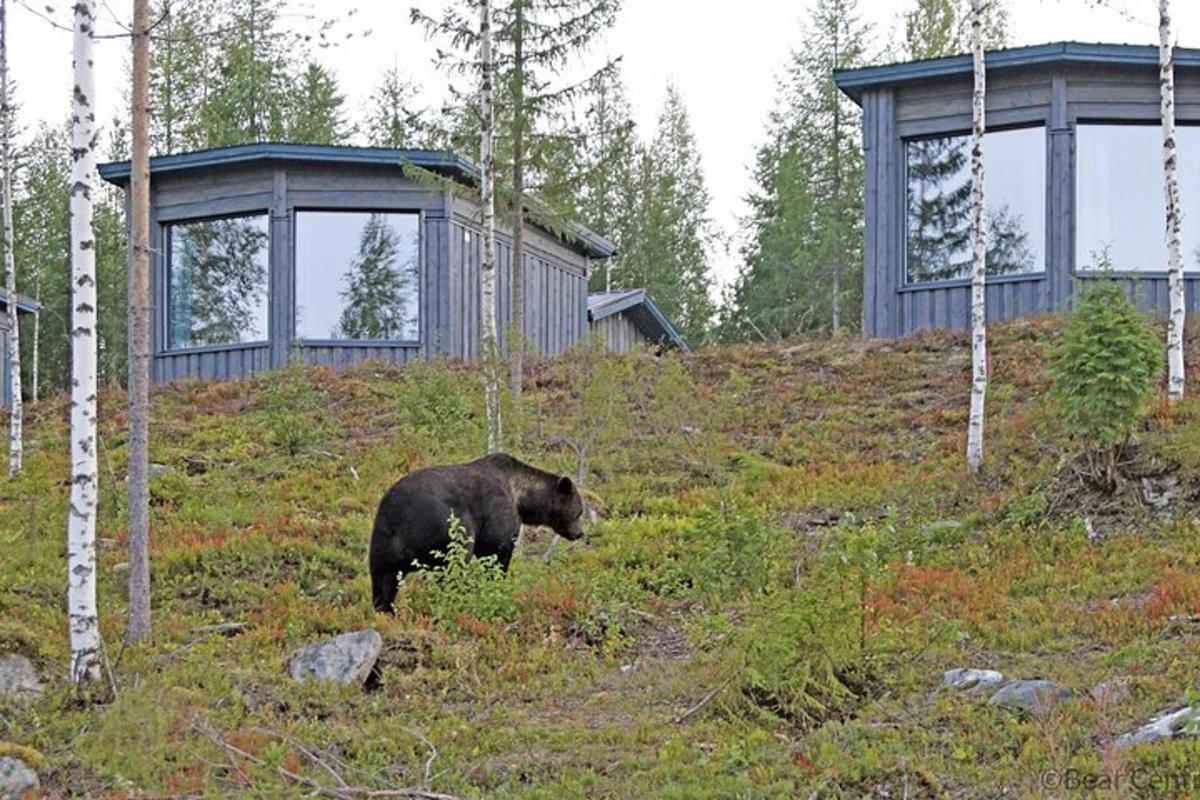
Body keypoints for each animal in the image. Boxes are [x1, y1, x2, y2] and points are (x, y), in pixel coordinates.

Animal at [369, 455, 585, 614]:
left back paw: (387, 610)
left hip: (384, 539)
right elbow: (497, 552)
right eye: (578, 511)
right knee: (453, 565)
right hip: (447, 524)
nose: (580, 533)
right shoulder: (497, 514)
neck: (521, 497)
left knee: (384, 581)